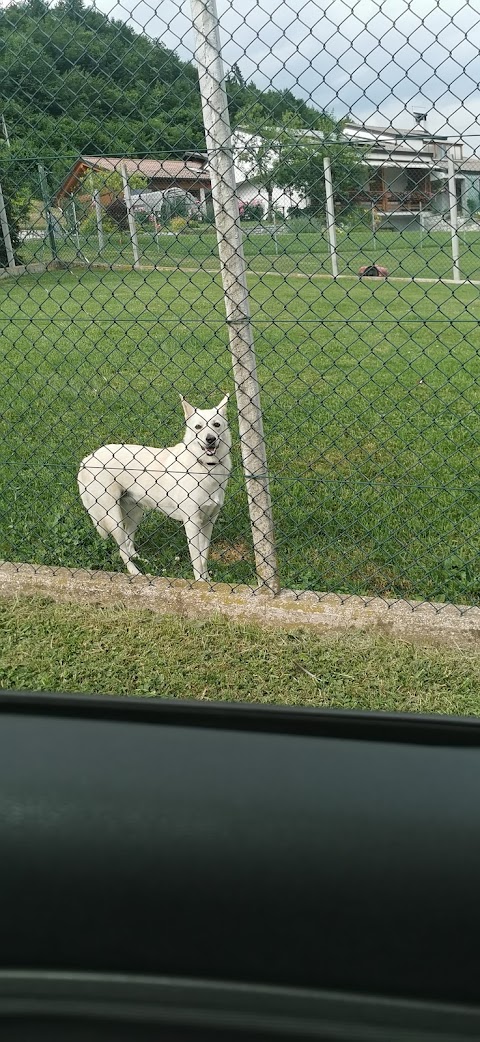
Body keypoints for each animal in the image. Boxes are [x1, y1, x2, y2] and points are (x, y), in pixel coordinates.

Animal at [77, 393, 230, 583]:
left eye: (216, 424)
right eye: (198, 427)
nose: (210, 439)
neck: (205, 466)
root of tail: (87, 459)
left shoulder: (209, 522)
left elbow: (204, 557)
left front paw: (207, 580)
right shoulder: (192, 523)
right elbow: (196, 560)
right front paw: (200, 582)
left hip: (135, 513)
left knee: (128, 543)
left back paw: (140, 560)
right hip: (113, 518)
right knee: (122, 550)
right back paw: (135, 572)